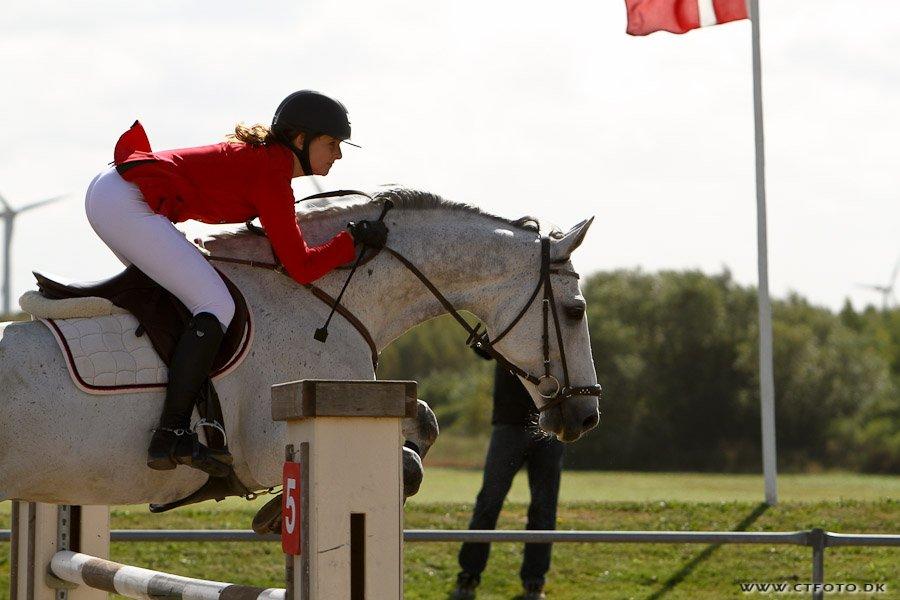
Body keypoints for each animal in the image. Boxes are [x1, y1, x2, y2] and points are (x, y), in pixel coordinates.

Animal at [3, 189, 600, 506]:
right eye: (576, 310)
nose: (586, 416)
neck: (320, 296)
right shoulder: (271, 447)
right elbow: (407, 460)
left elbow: (425, 421)